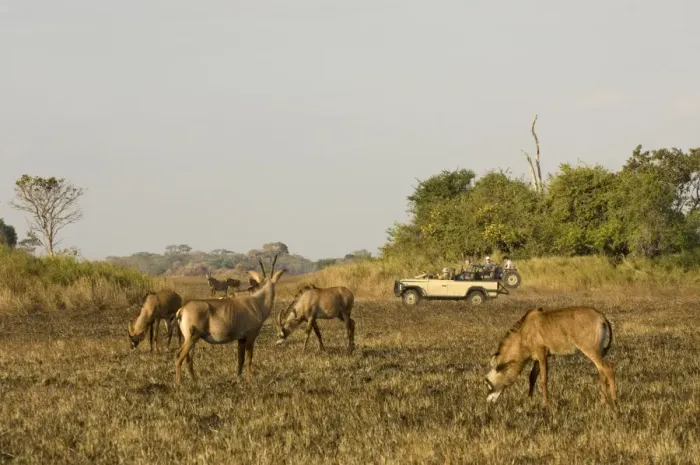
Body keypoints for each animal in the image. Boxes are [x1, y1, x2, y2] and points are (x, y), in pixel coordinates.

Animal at [175, 255, 286, 385]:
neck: (257, 301)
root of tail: (182, 310)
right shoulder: (250, 336)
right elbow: (249, 359)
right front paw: (249, 380)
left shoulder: (241, 339)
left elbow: (240, 359)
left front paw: (238, 379)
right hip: (191, 338)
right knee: (179, 356)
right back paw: (179, 383)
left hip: (192, 339)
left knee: (189, 359)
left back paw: (195, 382)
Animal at [484, 306, 616, 409]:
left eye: (487, 381)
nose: (488, 401)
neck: (524, 331)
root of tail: (601, 317)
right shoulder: (537, 359)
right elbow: (532, 377)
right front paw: (529, 400)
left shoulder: (542, 354)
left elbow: (543, 379)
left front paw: (545, 404)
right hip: (598, 351)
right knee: (601, 371)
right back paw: (602, 401)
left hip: (590, 349)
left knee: (608, 367)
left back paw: (614, 400)